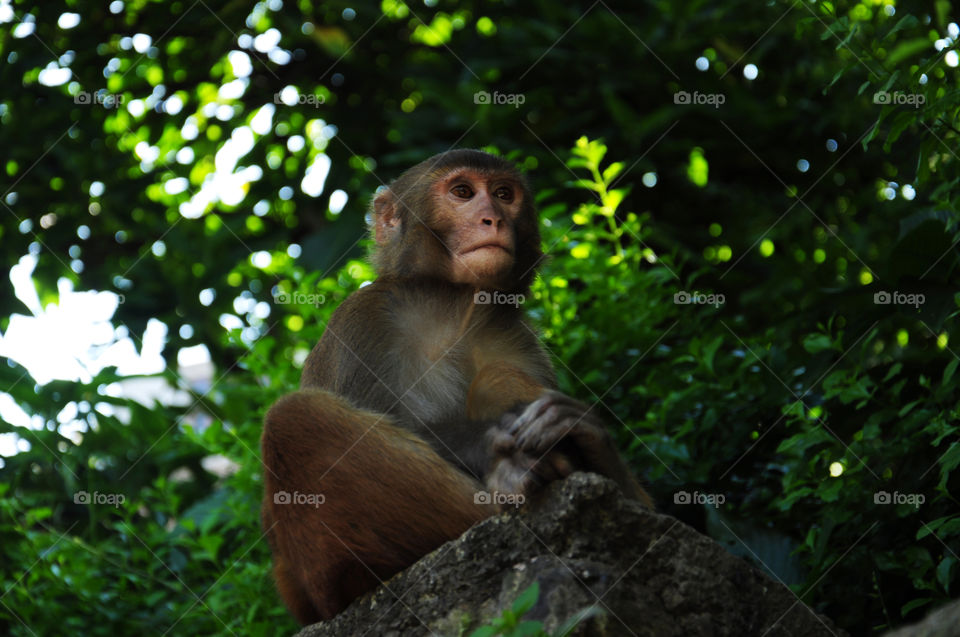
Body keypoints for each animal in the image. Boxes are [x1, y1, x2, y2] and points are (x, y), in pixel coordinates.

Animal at [262, 148, 652, 620]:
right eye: (463, 192)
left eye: (503, 194)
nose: (493, 219)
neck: (453, 305)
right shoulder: (362, 322)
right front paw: (488, 444)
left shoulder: (517, 338)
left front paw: (590, 438)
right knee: (292, 418)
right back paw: (507, 478)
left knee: (496, 375)